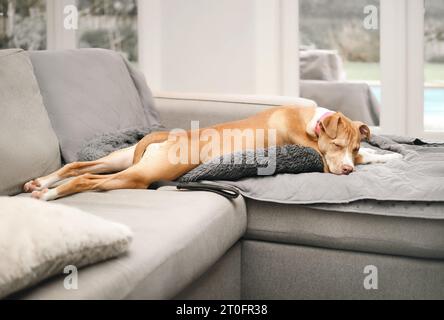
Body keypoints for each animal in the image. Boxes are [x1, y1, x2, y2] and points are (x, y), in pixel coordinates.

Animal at [24, 105, 400, 201]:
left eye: (353, 145)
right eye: (336, 146)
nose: (347, 171)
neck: (314, 122)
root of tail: (169, 135)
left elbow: (370, 155)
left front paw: (389, 156)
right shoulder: (319, 158)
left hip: (122, 158)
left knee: (77, 165)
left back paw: (41, 182)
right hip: (142, 174)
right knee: (87, 178)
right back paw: (50, 194)